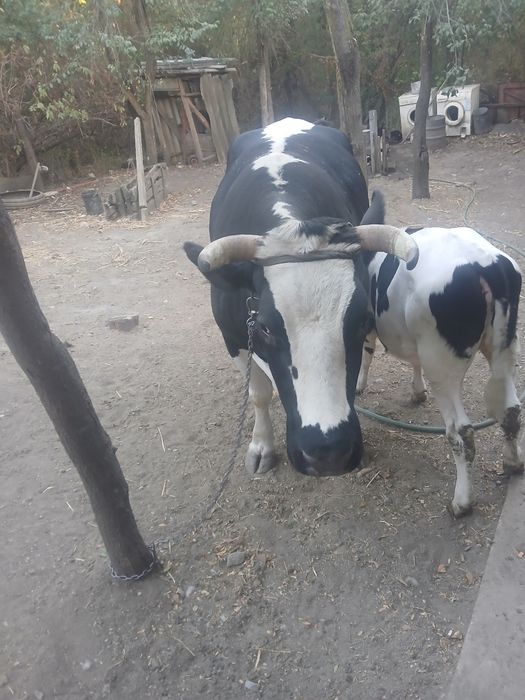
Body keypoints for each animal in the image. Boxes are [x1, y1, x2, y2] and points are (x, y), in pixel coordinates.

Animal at [184, 118, 418, 479]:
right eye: (264, 327)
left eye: (362, 318)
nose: (329, 451)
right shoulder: (232, 336)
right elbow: (258, 392)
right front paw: (261, 446)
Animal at [356, 225, 523, 516]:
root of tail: (487, 264)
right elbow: (413, 361)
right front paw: (417, 392)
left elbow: (367, 353)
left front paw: (359, 385)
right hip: (505, 348)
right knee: (511, 410)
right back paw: (513, 462)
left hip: (441, 365)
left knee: (460, 431)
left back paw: (461, 502)